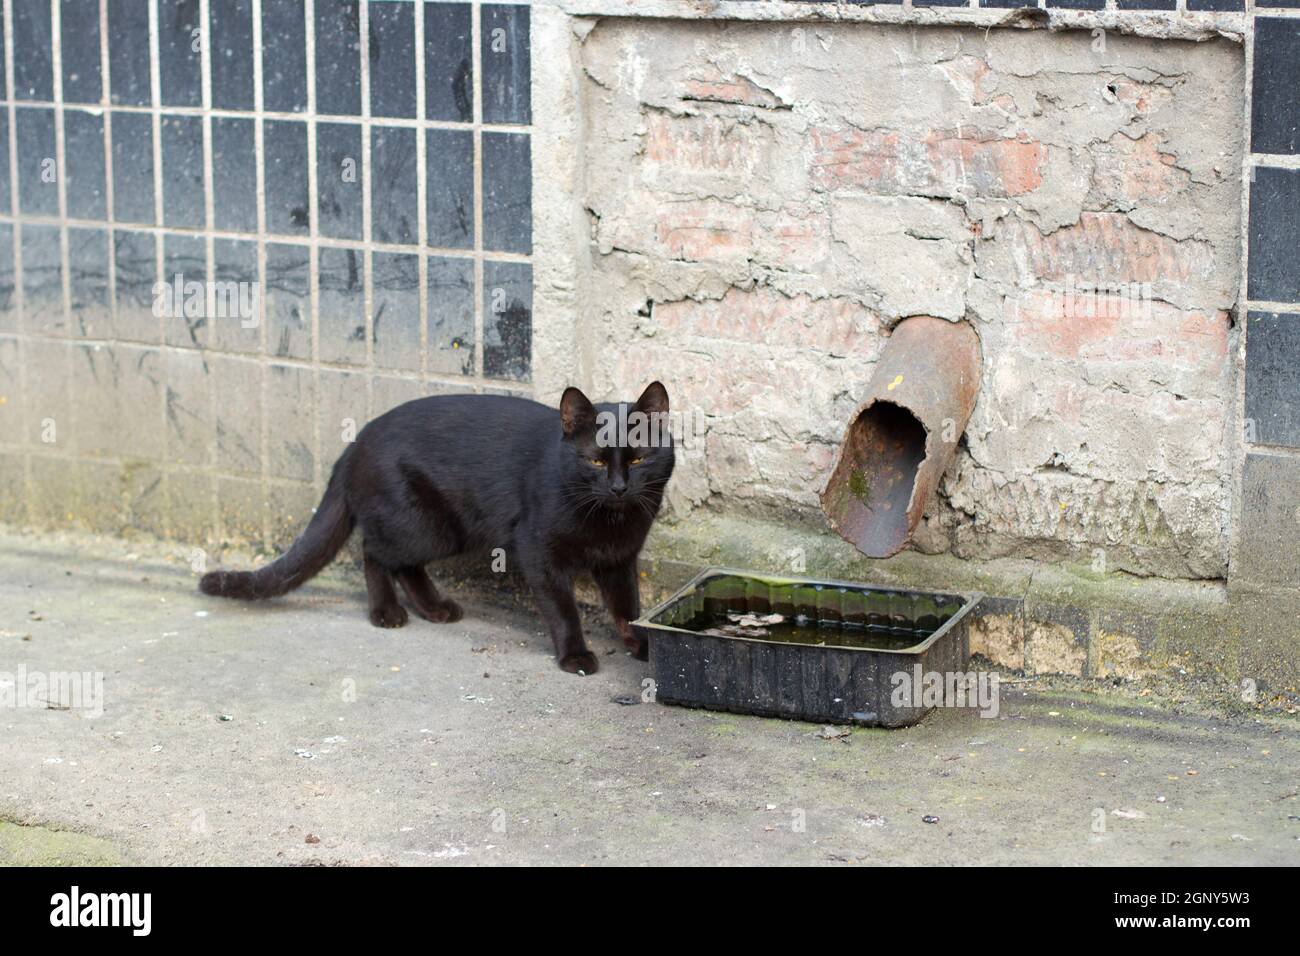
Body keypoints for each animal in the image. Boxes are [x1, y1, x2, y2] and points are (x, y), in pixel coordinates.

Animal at [200, 385, 681, 676]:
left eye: (639, 459)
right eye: (595, 461)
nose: (618, 487)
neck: (611, 520)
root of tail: (357, 440)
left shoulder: (619, 558)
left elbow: (627, 605)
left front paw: (641, 643)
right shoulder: (538, 551)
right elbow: (564, 609)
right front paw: (575, 655)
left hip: (440, 529)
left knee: (401, 562)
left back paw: (433, 608)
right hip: (426, 526)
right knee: (375, 551)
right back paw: (386, 613)